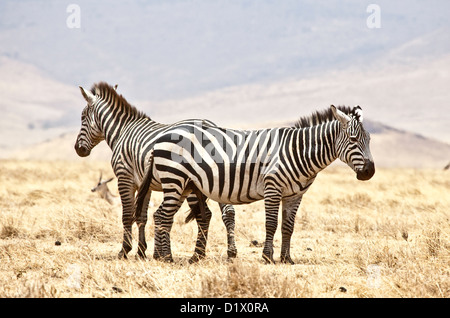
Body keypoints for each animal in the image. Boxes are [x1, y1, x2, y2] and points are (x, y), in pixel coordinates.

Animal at [73, 81, 239, 260]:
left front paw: (124, 250)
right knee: (228, 212)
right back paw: (230, 252)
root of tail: (211, 125)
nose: (78, 149)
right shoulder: (145, 184)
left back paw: (198, 255)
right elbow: (141, 217)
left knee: (205, 215)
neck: (122, 131)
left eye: (82, 117)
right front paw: (141, 251)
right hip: (219, 178)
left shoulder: (124, 177)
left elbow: (127, 216)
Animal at [135, 104, 374, 264]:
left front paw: (286, 259)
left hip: (183, 184)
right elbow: (271, 224)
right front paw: (268, 257)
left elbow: (288, 226)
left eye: (369, 140)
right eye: (353, 140)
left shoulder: (294, 195)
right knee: (163, 215)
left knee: (160, 215)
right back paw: (166, 257)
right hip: (174, 179)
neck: (297, 151)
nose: (369, 172)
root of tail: (161, 137)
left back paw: (161, 256)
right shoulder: (272, 187)